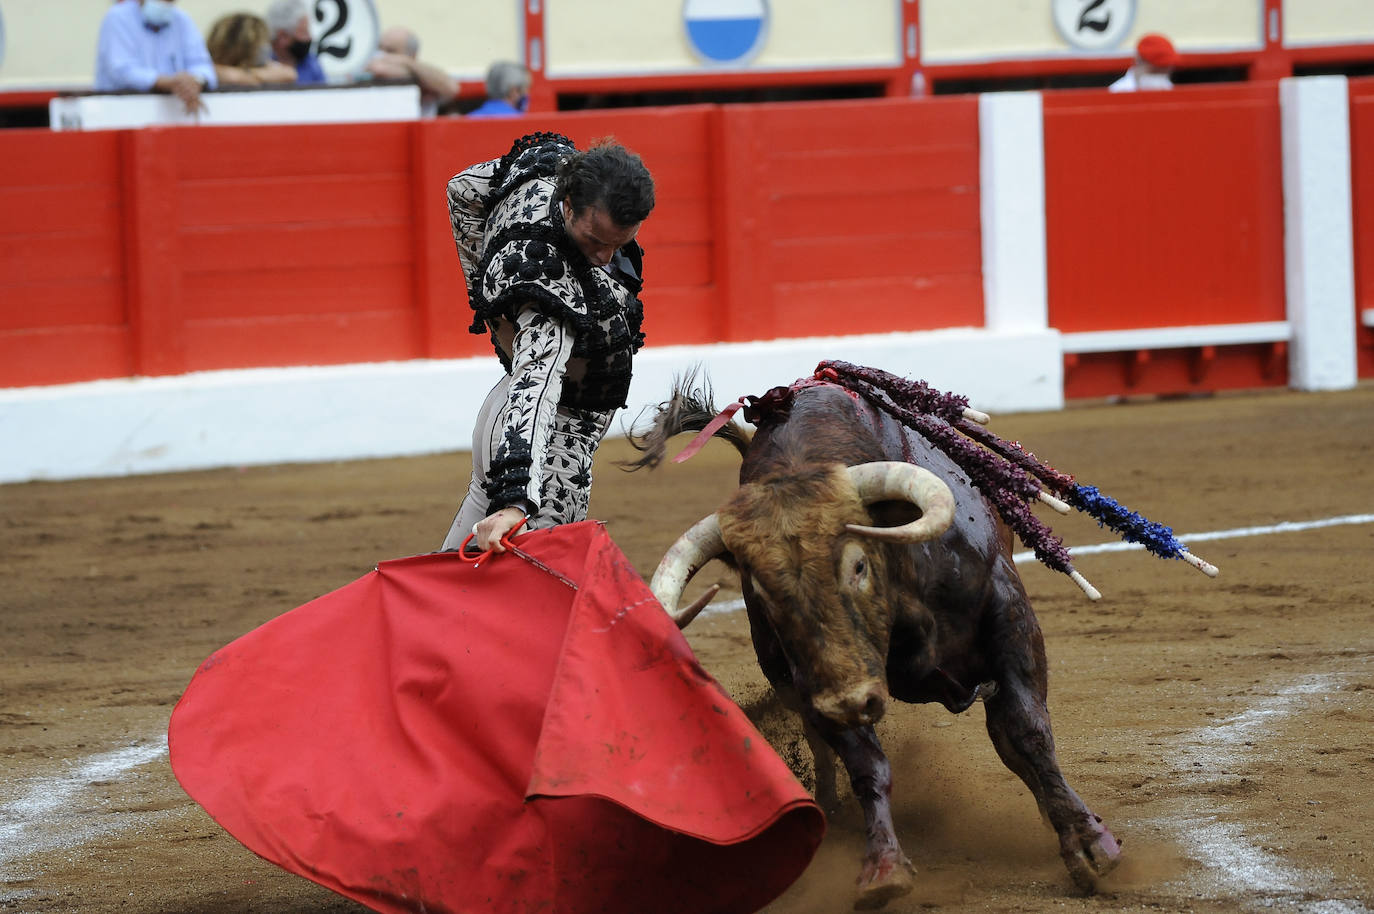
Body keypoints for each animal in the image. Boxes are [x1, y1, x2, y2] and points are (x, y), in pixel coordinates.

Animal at [629, 362, 1132, 907]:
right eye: (761, 591)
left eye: (858, 565)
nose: (848, 701)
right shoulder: (816, 682)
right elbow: (866, 763)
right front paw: (882, 867)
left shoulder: (1009, 617)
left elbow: (1025, 731)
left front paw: (1089, 845)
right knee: (824, 748)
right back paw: (827, 813)